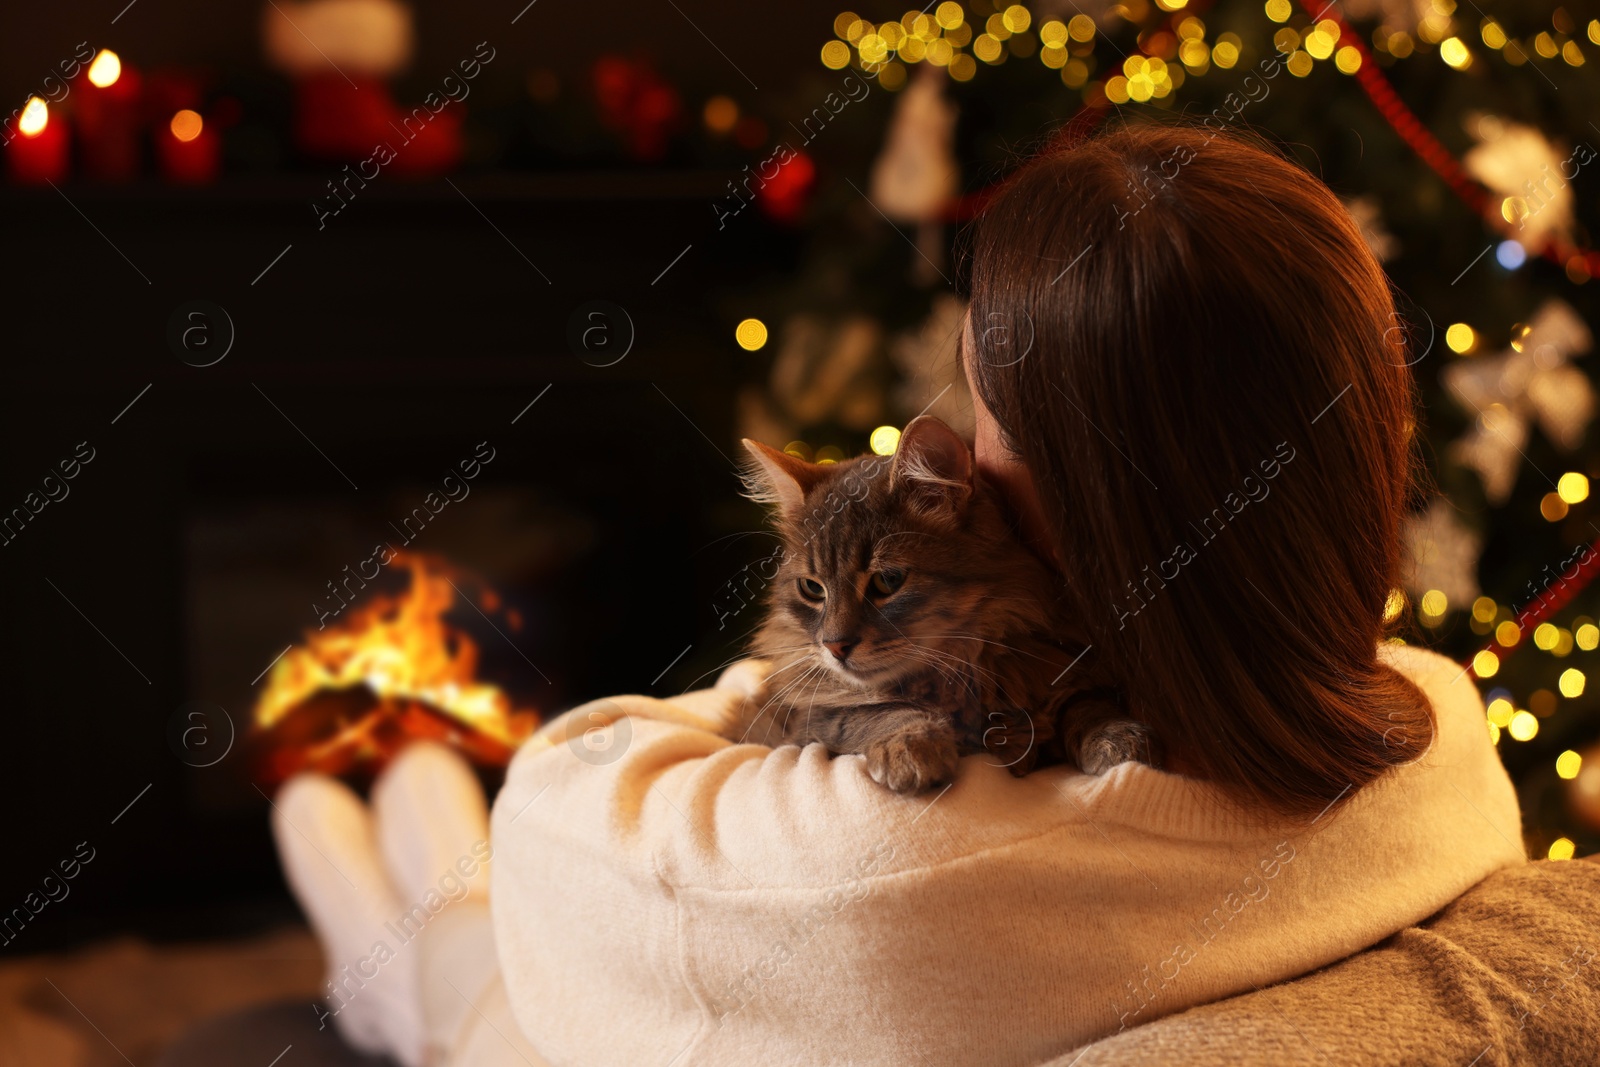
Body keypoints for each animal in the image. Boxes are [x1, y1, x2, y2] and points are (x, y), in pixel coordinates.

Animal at [726, 415, 1152, 793]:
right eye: (812, 589)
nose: (835, 646)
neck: (964, 666)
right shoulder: (809, 721)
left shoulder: (1064, 665)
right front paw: (912, 750)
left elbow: (1084, 704)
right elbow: (878, 712)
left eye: (887, 580)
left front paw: (1116, 736)